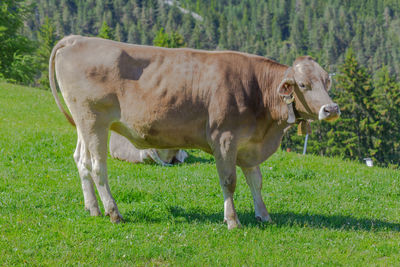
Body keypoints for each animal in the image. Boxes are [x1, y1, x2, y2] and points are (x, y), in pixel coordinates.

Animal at [48, 36, 340, 230]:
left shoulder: (249, 144)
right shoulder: (224, 138)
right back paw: (113, 212)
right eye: (303, 84)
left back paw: (93, 208)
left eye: (327, 82)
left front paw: (264, 215)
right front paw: (232, 220)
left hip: (83, 123)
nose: (331, 108)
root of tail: (76, 39)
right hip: (94, 120)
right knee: (98, 166)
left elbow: (256, 181)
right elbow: (229, 181)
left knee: (81, 160)